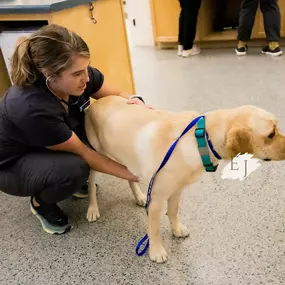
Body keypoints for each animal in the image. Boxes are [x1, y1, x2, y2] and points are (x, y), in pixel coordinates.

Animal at [83, 95, 284, 262]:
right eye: (271, 134)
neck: (200, 138)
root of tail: (93, 104)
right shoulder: (156, 198)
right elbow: (154, 228)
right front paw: (156, 251)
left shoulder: (177, 190)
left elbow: (173, 211)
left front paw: (176, 229)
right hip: (96, 157)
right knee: (91, 184)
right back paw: (93, 209)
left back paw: (139, 196)